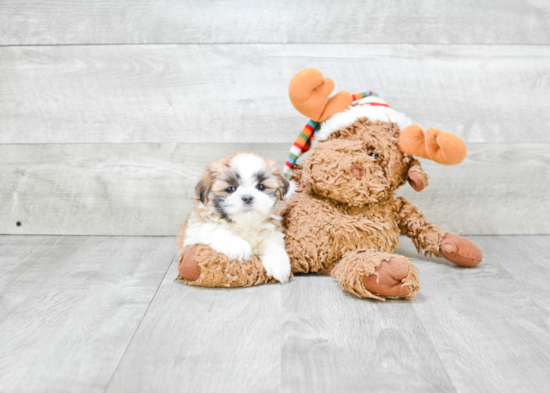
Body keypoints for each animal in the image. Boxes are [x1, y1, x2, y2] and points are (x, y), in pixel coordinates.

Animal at [182, 152, 296, 284]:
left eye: (261, 187)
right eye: (230, 189)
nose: (247, 197)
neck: (245, 224)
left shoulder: (272, 231)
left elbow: (272, 242)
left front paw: (279, 264)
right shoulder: (195, 229)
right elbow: (217, 229)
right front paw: (239, 246)